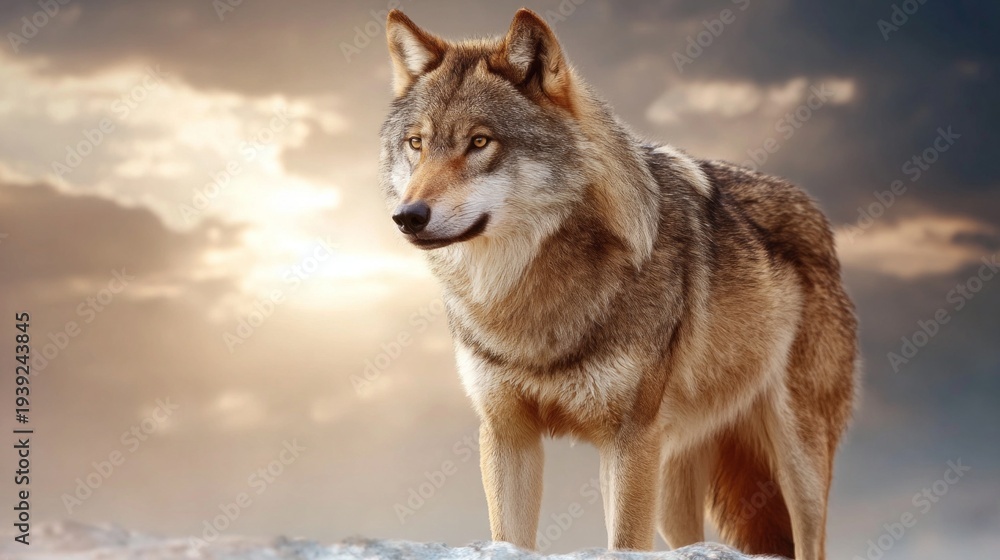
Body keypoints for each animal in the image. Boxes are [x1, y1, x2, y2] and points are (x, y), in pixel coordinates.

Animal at [378, 9, 858, 560]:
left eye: (480, 142)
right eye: (416, 144)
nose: (407, 217)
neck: (525, 302)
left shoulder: (627, 439)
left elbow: (625, 540)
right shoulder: (507, 434)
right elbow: (509, 536)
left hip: (796, 461)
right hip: (673, 486)